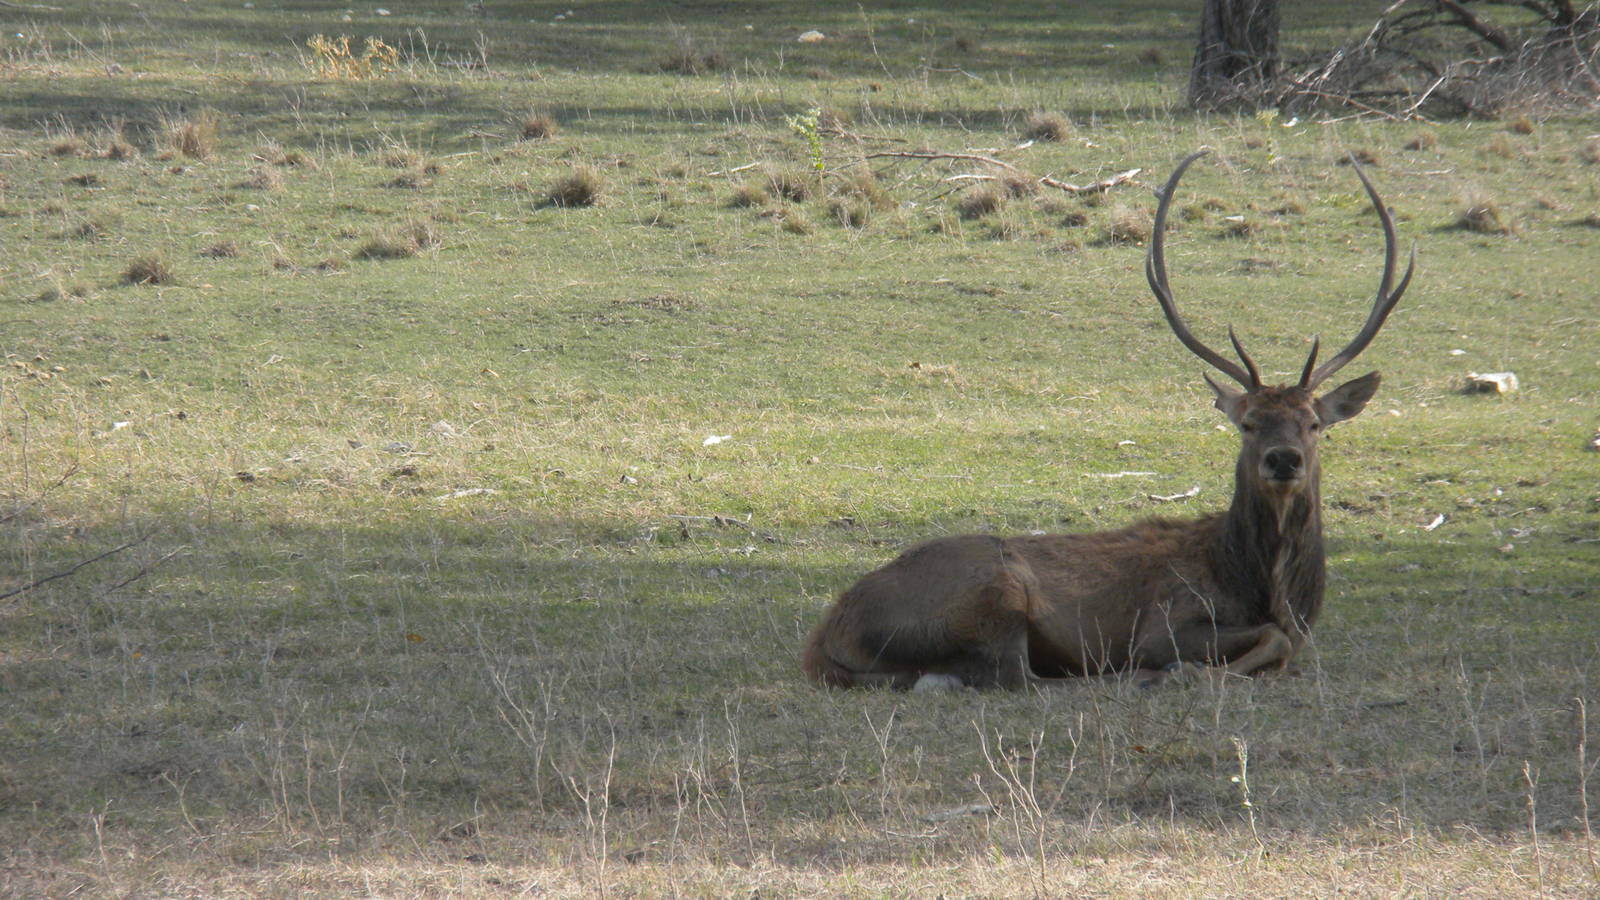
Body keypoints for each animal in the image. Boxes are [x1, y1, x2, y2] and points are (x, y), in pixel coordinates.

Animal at [802, 150, 1415, 691]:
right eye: (1248, 423)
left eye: (1314, 423)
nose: (1283, 460)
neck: (1266, 587)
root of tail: (826, 634)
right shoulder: (1165, 622)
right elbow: (1271, 641)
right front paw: (1185, 671)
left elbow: (1282, 644)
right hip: (998, 591)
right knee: (1017, 678)